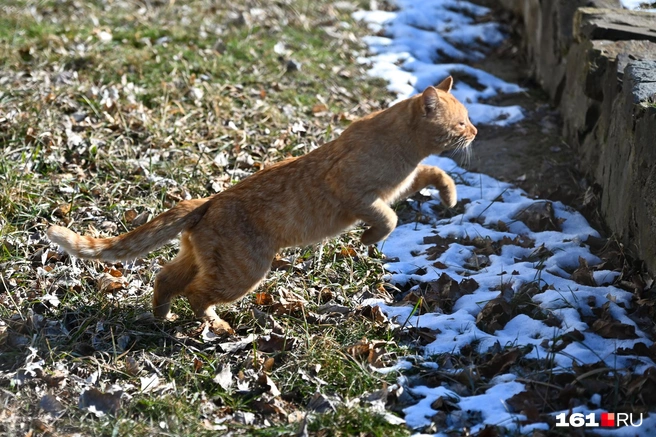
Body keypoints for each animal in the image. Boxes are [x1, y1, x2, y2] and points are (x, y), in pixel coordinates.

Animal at [46, 77, 476, 324]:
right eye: (460, 122)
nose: (474, 131)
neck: (403, 149)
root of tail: (208, 201)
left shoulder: (402, 184)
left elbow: (436, 174)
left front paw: (450, 196)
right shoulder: (356, 193)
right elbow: (388, 219)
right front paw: (369, 239)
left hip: (204, 260)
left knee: (166, 277)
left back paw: (160, 316)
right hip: (246, 271)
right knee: (196, 294)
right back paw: (214, 326)